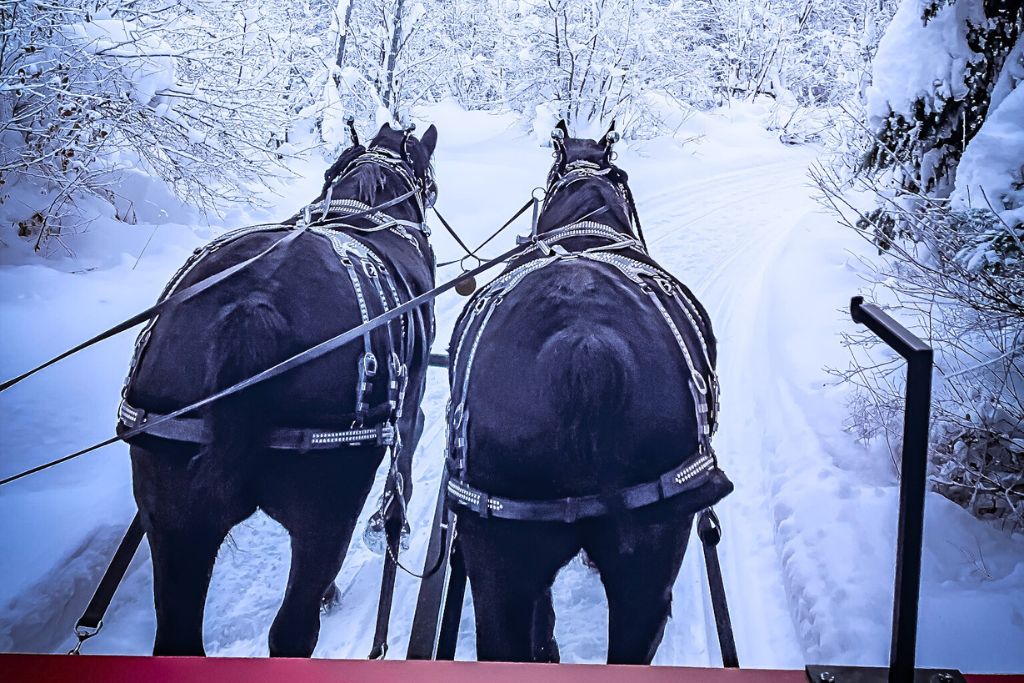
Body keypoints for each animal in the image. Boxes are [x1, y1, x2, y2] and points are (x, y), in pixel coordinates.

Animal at [121, 122, 438, 655]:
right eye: (428, 177)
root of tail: (251, 305)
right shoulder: (409, 408)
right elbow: (404, 473)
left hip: (170, 516)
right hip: (327, 506)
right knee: (294, 629)